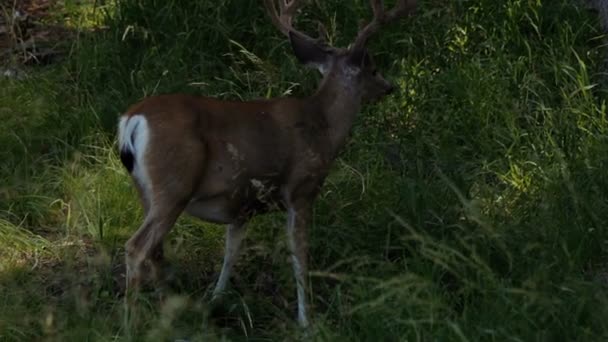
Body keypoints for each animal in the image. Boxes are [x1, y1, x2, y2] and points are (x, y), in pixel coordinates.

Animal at [116, 0, 416, 328]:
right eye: (372, 68)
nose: (389, 87)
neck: (323, 127)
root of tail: (131, 120)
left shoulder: (242, 207)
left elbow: (231, 252)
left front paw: (216, 299)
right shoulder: (301, 189)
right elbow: (299, 257)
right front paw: (306, 321)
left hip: (146, 190)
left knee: (155, 249)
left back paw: (168, 312)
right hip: (174, 186)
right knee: (137, 247)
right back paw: (131, 321)